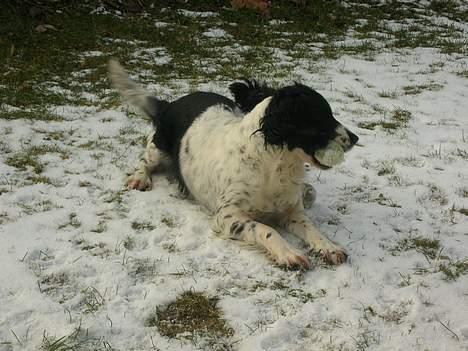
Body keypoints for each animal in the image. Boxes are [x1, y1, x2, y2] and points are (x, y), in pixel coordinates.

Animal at [109, 60, 358, 270]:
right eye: (322, 117)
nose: (355, 138)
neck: (271, 166)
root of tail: (168, 104)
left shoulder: (291, 212)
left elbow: (312, 229)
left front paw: (329, 247)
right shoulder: (228, 215)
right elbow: (266, 229)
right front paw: (289, 253)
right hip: (158, 146)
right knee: (145, 160)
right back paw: (139, 178)